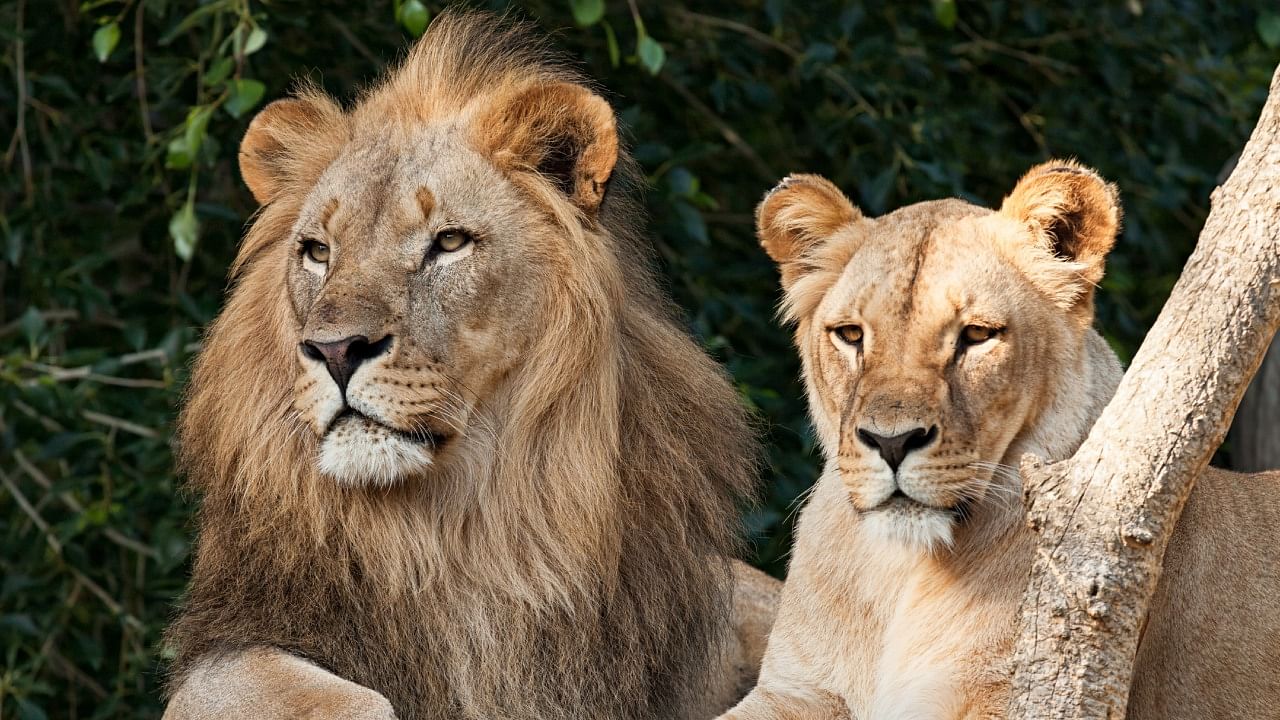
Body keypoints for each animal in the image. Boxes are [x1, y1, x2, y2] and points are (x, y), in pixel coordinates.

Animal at [160, 12, 778, 717]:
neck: (457, 532)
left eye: (449, 242)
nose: (335, 350)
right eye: (317, 251)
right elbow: (343, 698)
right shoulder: (229, 649)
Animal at [716, 162, 1280, 717]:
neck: (900, 571)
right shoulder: (795, 689)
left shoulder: (1035, 686)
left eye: (977, 335)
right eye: (851, 335)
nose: (891, 443)